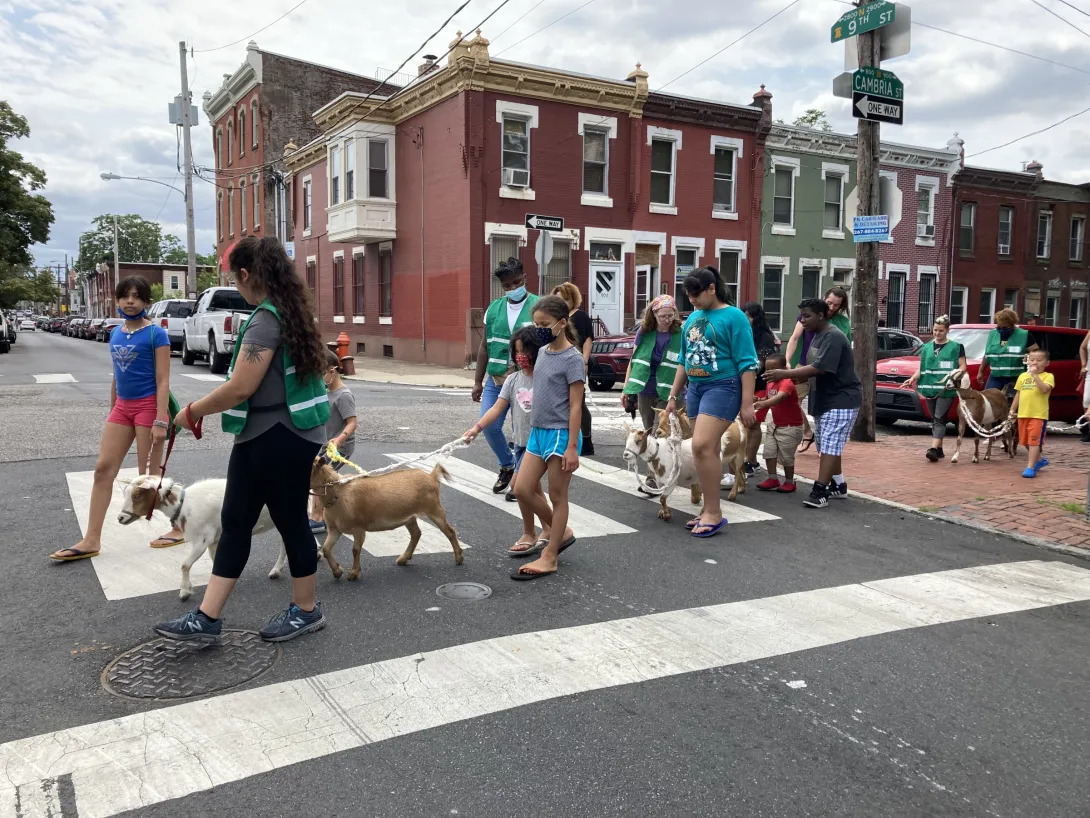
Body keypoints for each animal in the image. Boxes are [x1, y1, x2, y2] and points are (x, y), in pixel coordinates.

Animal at [118, 475, 276, 600]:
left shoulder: (203, 540)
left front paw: (184, 592)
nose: (120, 518)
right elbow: (214, 560)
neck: (184, 506)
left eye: (137, 496)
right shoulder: (214, 540)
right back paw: (276, 571)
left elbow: (185, 565)